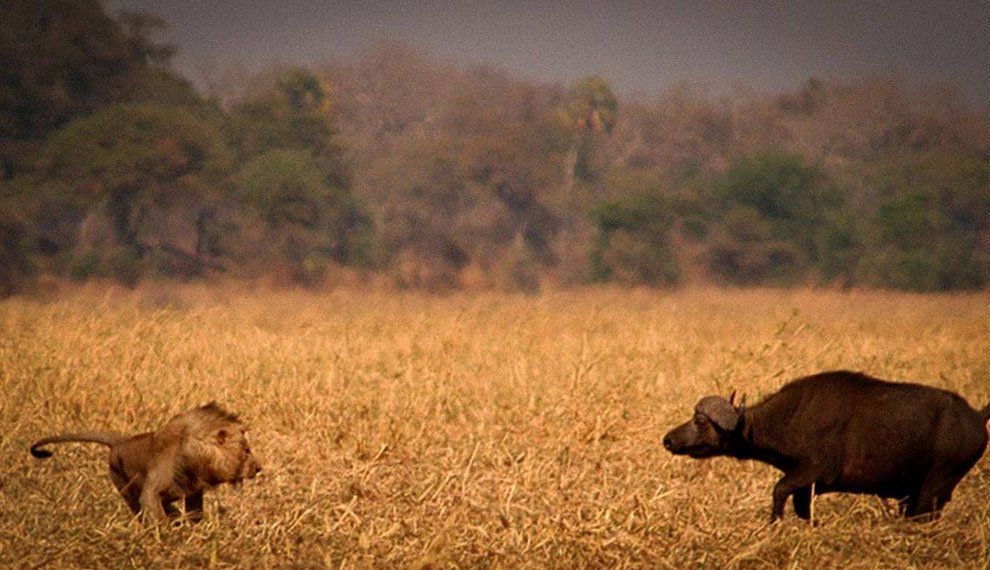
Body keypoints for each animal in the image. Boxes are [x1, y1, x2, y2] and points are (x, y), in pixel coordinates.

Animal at [31, 400, 262, 520]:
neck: (196, 457)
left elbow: (195, 512)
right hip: (125, 488)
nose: (259, 468)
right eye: (247, 450)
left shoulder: (194, 491)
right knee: (139, 509)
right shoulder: (152, 489)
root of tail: (120, 441)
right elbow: (154, 511)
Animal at [664, 368, 990, 520]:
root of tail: (975, 416)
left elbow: (779, 490)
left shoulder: (814, 472)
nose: (668, 439)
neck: (790, 417)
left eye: (700, 421)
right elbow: (801, 508)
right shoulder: (808, 485)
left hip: (932, 488)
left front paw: (774, 523)